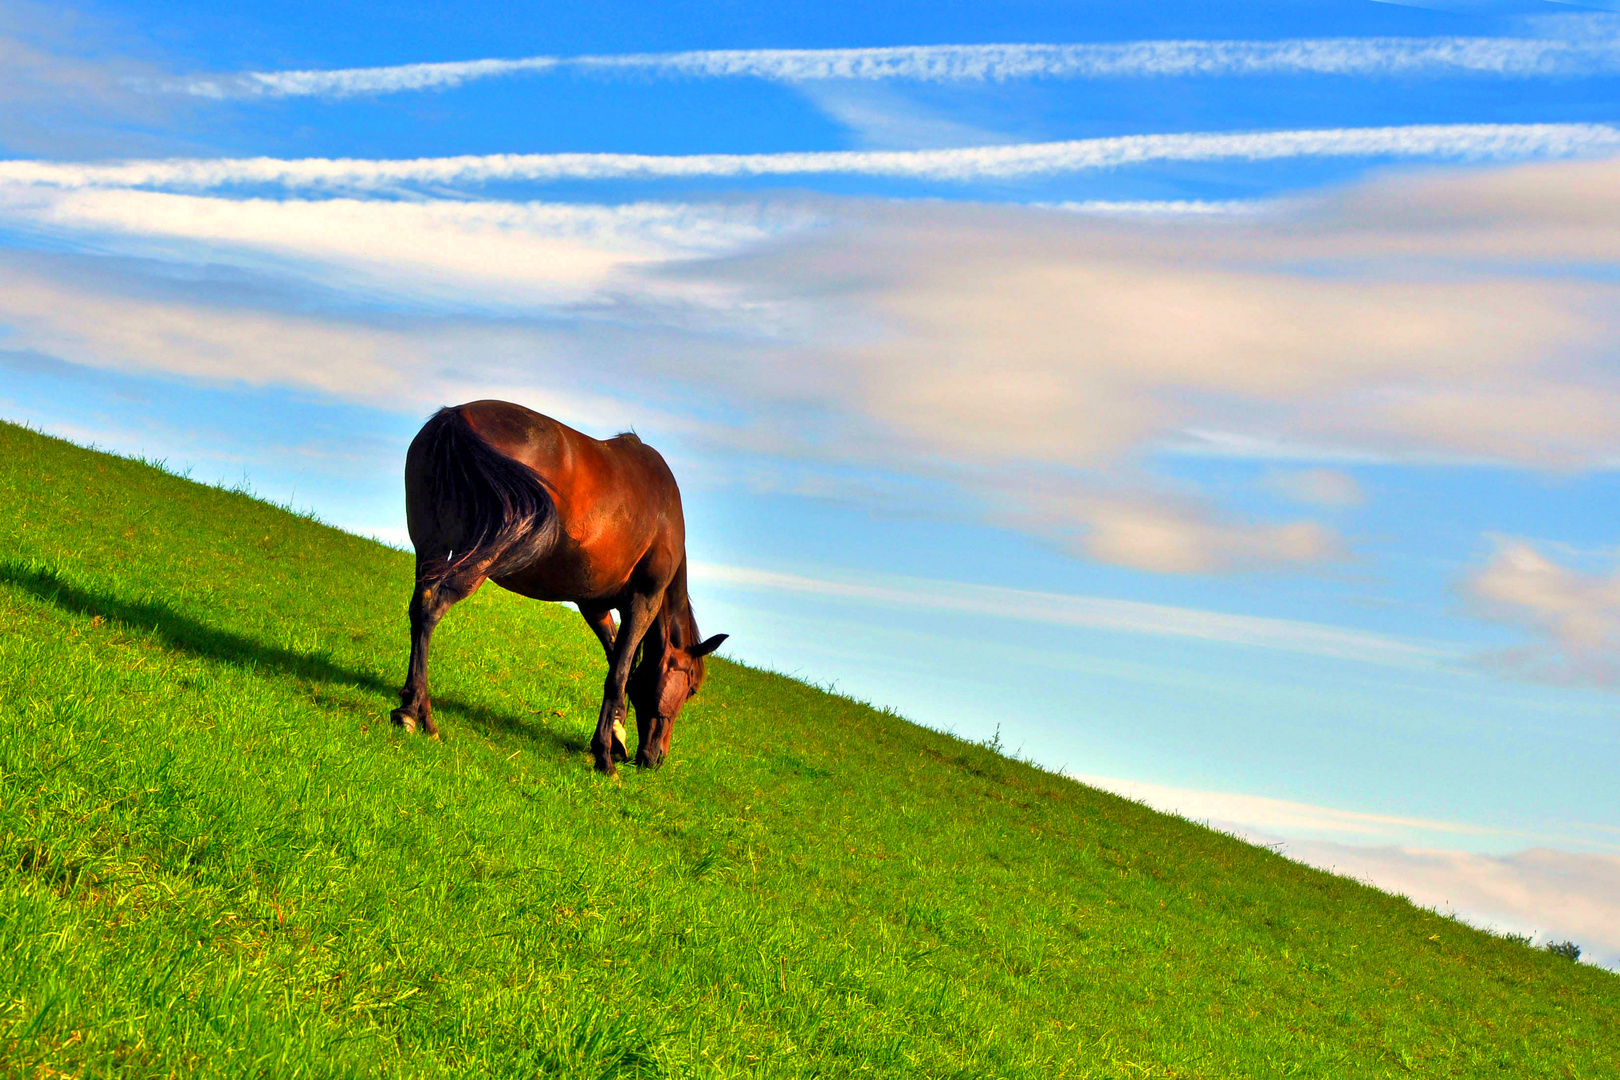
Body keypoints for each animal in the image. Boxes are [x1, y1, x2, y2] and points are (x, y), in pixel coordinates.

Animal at [388, 401, 725, 773]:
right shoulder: (643, 602)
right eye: (691, 689)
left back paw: (411, 707)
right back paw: (418, 714)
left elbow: (619, 663)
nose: (655, 758)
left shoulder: (594, 605)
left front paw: (616, 732)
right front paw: (605, 755)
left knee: (420, 607)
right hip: (479, 558)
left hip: (430, 548)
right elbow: (619, 672)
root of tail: (456, 416)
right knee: (433, 607)